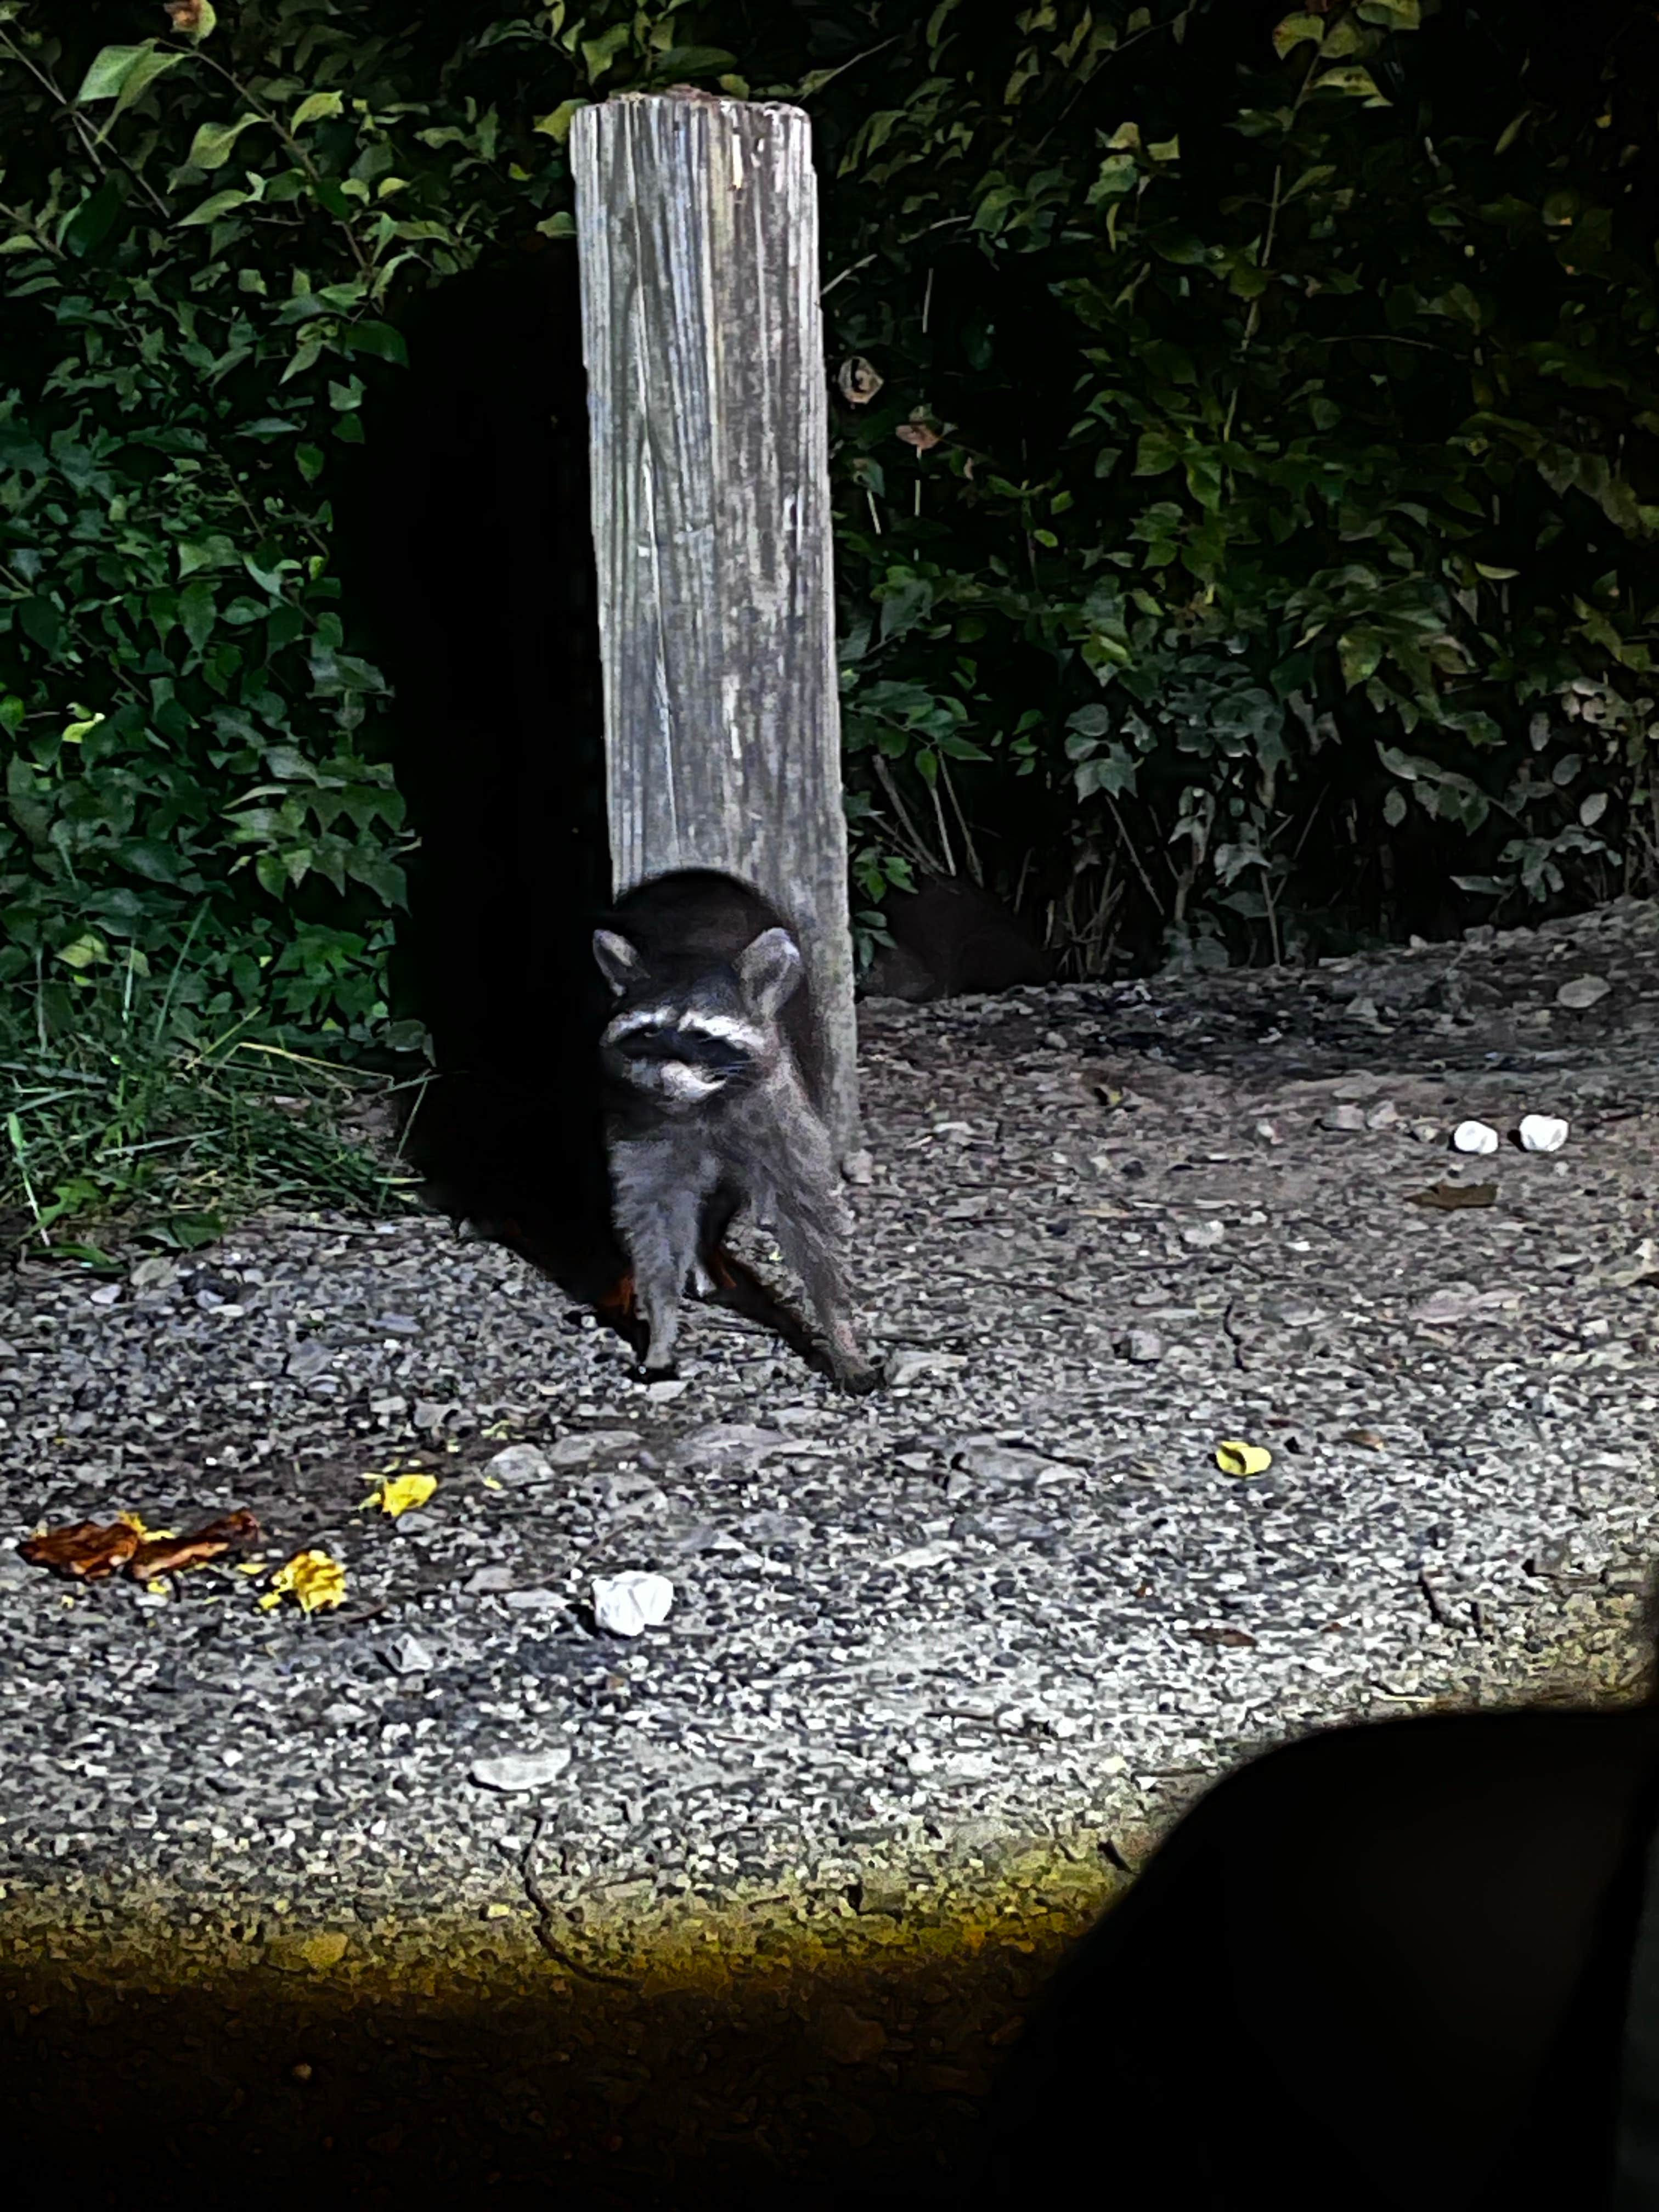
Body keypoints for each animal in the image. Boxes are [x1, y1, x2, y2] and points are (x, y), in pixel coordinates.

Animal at [592, 869, 879, 1393]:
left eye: (701, 1036)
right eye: (647, 1032)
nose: (666, 1077)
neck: (699, 1104)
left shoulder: (772, 1100)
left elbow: (808, 1211)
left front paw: (841, 1334)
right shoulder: (641, 1118)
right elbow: (656, 1215)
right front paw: (661, 1325)